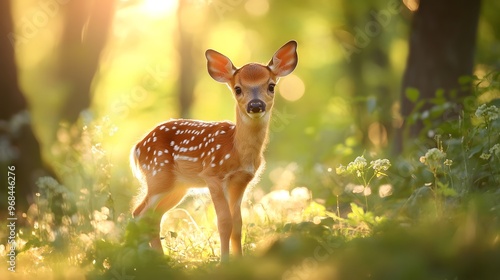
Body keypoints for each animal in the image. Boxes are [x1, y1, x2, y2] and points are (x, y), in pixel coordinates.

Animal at [131, 40, 298, 262]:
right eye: (238, 89)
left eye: (271, 86)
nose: (255, 105)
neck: (236, 150)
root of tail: (138, 147)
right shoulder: (213, 175)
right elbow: (224, 222)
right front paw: (224, 263)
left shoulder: (241, 181)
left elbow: (238, 223)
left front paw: (239, 261)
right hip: (158, 175)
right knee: (139, 213)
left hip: (178, 187)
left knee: (152, 217)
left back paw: (161, 260)